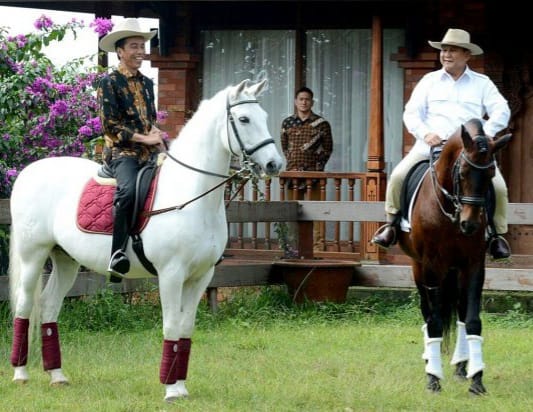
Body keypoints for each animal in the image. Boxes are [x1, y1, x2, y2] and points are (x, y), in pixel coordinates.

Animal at [8, 79, 282, 400]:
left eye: (264, 116)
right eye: (244, 119)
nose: (275, 164)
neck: (190, 194)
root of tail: (28, 172)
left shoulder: (201, 277)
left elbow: (186, 328)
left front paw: (181, 387)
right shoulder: (171, 275)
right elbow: (172, 326)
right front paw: (171, 390)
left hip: (65, 260)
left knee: (49, 306)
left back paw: (57, 376)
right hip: (33, 255)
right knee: (25, 304)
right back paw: (20, 373)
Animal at [396, 117, 510, 394]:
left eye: (491, 174)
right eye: (463, 172)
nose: (470, 224)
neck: (449, 210)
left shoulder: (474, 264)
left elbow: (472, 320)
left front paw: (476, 378)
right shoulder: (430, 265)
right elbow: (434, 321)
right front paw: (433, 379)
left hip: (456, 270)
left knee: (459, 312)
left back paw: (460, 365)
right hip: (419, 267)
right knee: (427, 312)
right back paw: (430, 359)